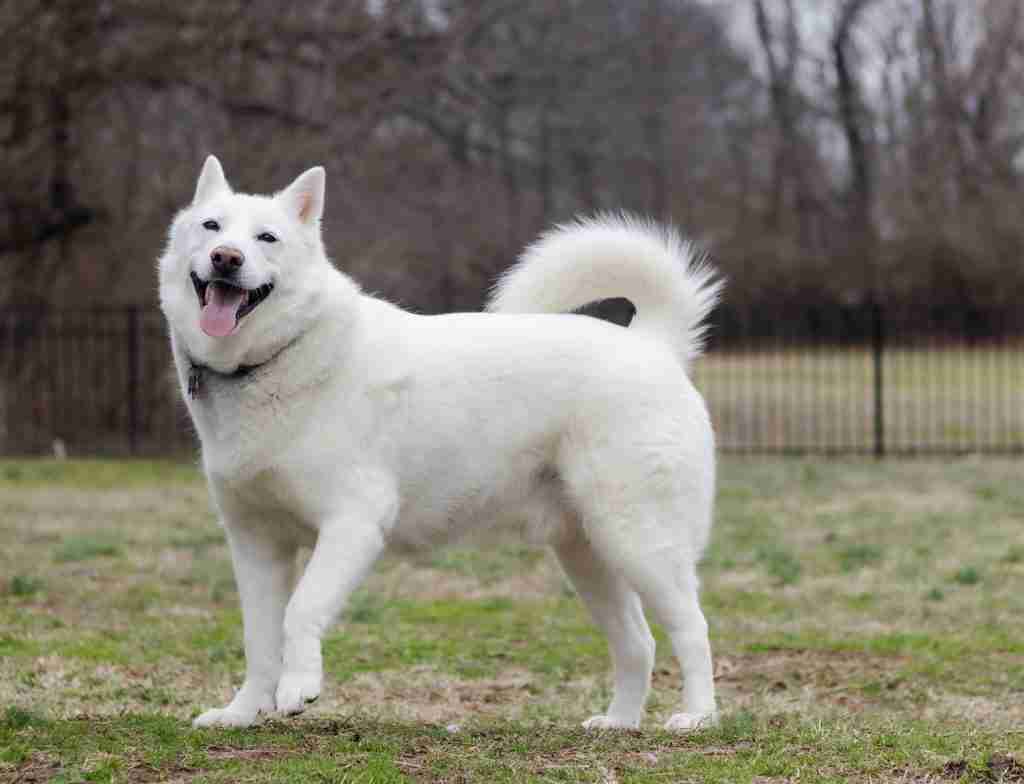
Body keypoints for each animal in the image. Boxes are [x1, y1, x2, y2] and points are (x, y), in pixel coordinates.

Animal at [157, 156, 720, 732]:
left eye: (266, 237)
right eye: (212, 227)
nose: (227, 258)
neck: (277, 356)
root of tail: (652, 344)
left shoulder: (353, 523)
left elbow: (302, 610)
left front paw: (299, 688)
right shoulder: (255, 545)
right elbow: (259, 640)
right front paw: (242, 713)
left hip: (642, 542)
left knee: (692, 630)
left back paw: (697, 716)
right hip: (590, 556)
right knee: (638, 644)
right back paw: (620, 722)